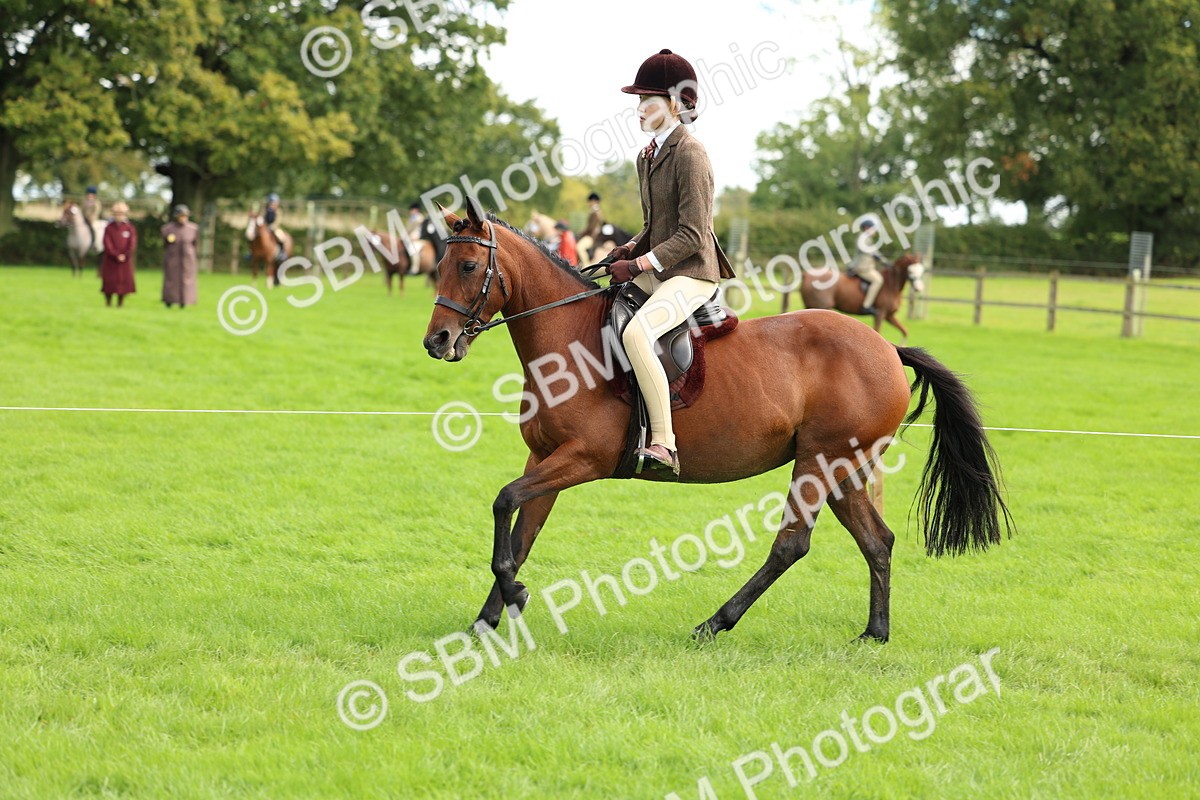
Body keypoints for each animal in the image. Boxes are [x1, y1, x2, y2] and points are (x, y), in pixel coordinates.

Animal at [423, 200, 1011, 644]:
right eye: (439, 267)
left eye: (469, 268)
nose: (437, 342)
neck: (569, 341)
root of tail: (887, 348)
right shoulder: (543, 457)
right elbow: (520, 532)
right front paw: (488, 619)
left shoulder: (583, 459)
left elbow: (504, 502)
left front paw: (514, 597)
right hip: (843, 468)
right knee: (877, 540)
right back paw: (875, 634)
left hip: (819, 462)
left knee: (792, 544)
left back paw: (715, 623)